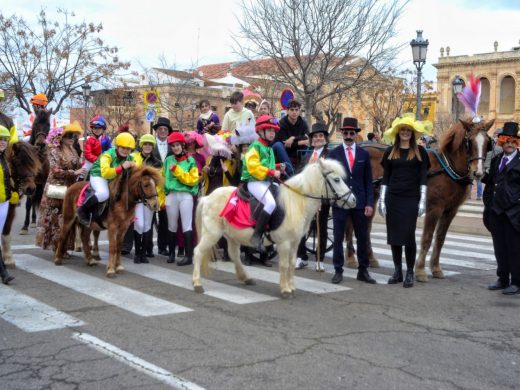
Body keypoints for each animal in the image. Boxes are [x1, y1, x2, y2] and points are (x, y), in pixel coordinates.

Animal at [193, 158, 356, 298]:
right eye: (336, 179)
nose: (353, 200)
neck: (296, 203)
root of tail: (207, 198)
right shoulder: (283, 243)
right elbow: (284, 265)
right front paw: (285, 289)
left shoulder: (295, 242)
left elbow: (292, 263)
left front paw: (291, 287)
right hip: (212, 234)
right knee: (198, 252)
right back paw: (197, 284)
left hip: (232, 235)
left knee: (234, 255)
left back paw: (245, 278)